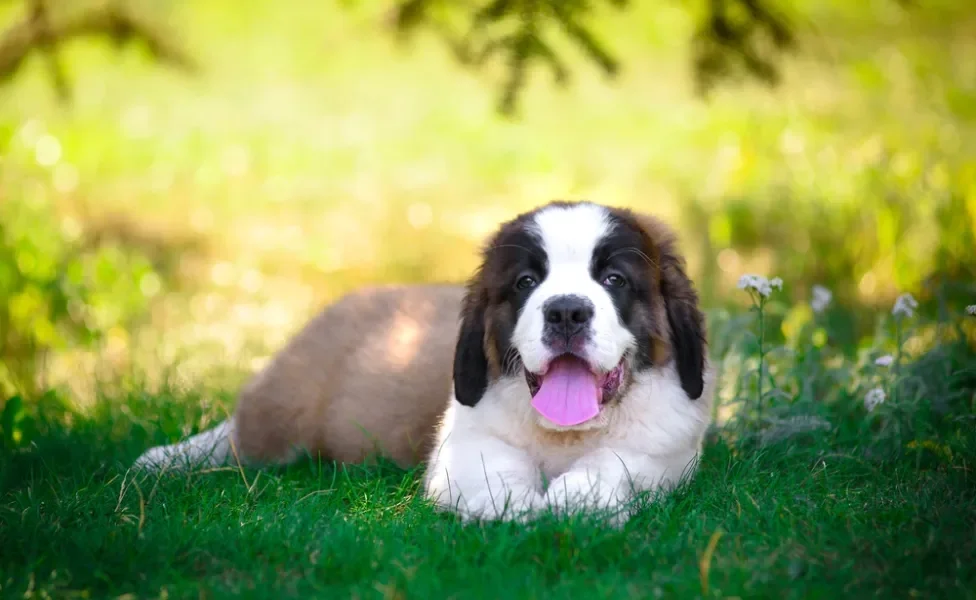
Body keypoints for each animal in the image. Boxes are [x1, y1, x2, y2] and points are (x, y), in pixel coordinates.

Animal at [133, 200, 712, 524]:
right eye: (526, 282)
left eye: (614, 280)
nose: (567, 311)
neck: (563, 435)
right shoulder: (463, 442)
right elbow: (491, 469)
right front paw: (518, 507)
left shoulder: (667, 450)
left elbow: (617, 464)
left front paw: (575, 502)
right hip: (286, 404)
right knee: (240, 436)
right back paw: (164, 459)